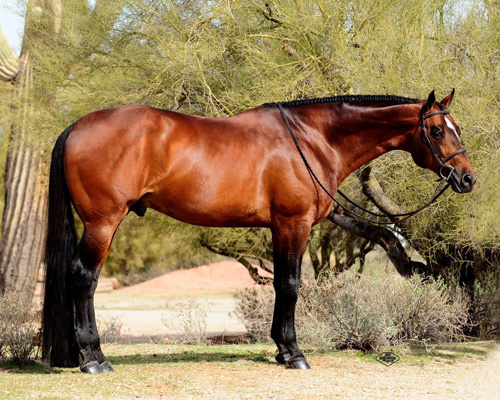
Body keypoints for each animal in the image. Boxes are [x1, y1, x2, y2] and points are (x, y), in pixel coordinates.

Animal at [41, 89, 475, 373]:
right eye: (438, 131)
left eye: (457, 127)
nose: (467, 178)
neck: (313, 139)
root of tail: (77, 126)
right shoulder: (294, 223)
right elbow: (291, 286)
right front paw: (295, 354)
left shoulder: (279, 228)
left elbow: (282, 284)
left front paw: (282, 351)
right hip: (102, 223)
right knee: (84, 279)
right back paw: (94, 360)